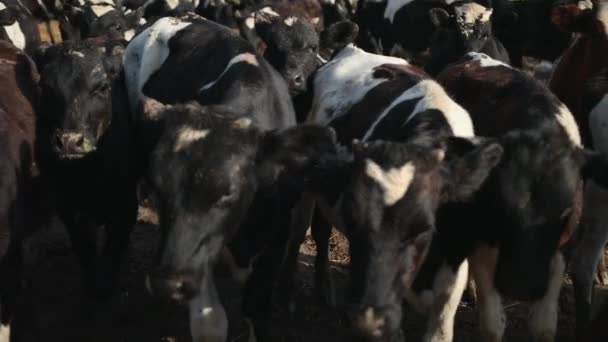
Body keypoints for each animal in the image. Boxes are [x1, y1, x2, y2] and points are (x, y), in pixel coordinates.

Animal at [34, 38, 138, 300]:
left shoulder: (125, 204)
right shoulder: (68, 208)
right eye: (46, 86)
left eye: (102, 87)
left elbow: (112, 250)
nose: (70, 141)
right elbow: (85, 249)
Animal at [121, 14, 344, 342]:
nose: (166, 284)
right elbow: (211, 325)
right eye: (159, 188)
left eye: (228, 191)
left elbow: (258, 308)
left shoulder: (277, 234)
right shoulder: (200, 254)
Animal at [434, 51, 608, 342]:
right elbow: (492, 325)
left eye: (567, 210)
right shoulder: (484, 242)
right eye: (500, 207)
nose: (521, 287)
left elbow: (544, 326)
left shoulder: (560, 250)